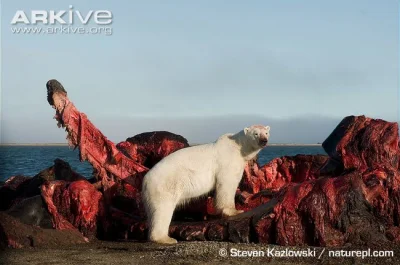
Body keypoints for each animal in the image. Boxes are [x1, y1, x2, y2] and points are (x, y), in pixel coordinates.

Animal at [142, 125, 270, 242]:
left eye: (266, 133)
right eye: (256, 133)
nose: (264, 140)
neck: (238, 147)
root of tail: (145, 180)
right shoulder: (228, 161)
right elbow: (227, 183)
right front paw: (234, 211)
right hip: (165, 186)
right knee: (162, 210)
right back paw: (165, 239)